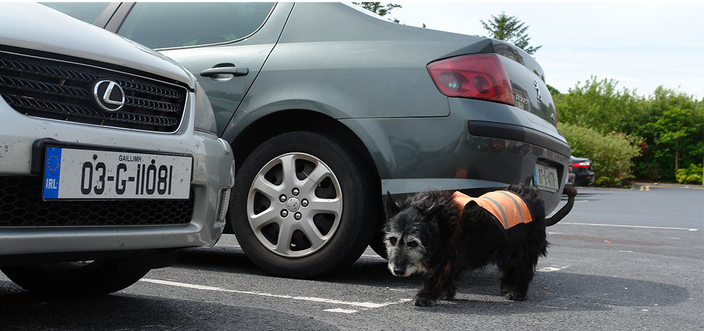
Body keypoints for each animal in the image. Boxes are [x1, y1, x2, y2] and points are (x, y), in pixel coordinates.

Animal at [382, 184, 548, 308]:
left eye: (413, 243)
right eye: (392, 240)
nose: (398, 270)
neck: (440, 224)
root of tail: (530, 192)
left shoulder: (450, 258)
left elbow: (438, 277)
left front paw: (425, 295)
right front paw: (444, 292)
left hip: (524, 249)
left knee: (524, 269)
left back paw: (518, 292)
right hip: (507, 248)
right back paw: (508, 284)